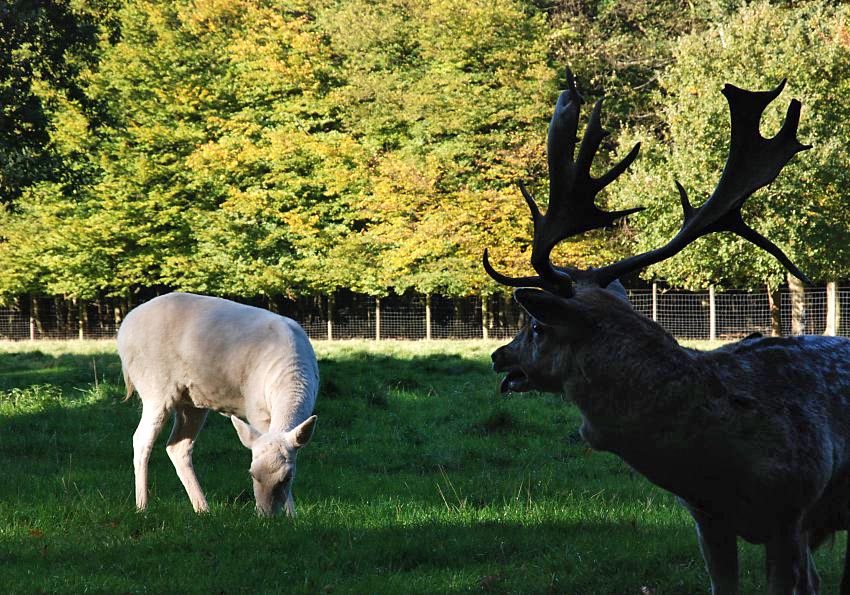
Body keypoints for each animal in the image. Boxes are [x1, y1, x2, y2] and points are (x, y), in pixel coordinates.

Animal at [117, 294, 318, 516]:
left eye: (288, 477)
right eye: (252, 473)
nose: (266, 515)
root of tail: (123, 328)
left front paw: (292, 516)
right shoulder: (255, 408)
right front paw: (291, 516)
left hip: (192, 401)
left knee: (177, 446)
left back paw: (203, 509)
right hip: (155, 387)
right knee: (141, 438)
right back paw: (142, 506)